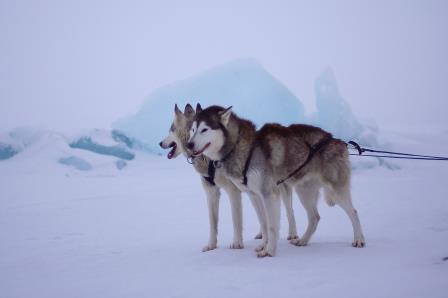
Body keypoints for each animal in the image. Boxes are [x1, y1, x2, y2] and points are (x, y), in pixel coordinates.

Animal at [159, 103, 300, 250]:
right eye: (193, 130)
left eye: (170, 129)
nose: (160, 143)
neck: (209, 160)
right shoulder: (211, 192)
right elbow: (213, 222)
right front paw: (211, 245)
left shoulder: (233, 191)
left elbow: (236, 219)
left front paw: (237, 243)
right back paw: (262, 234)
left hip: (280, 189)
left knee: (289, 210)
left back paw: (292, 234)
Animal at [187, 106, 366, 258]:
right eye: (193, 130)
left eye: (204, 129)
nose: (189, 144)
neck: (244, 148)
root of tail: (337, 140)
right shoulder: (254, 195)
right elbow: (264, 224)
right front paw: (264, 246)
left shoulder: (269, 194)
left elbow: (272, 227)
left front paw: (269, 251)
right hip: (304, 192)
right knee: (315, 217)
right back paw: (303, 240)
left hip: (336, 190)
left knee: (354, 212)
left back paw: (359, 239)